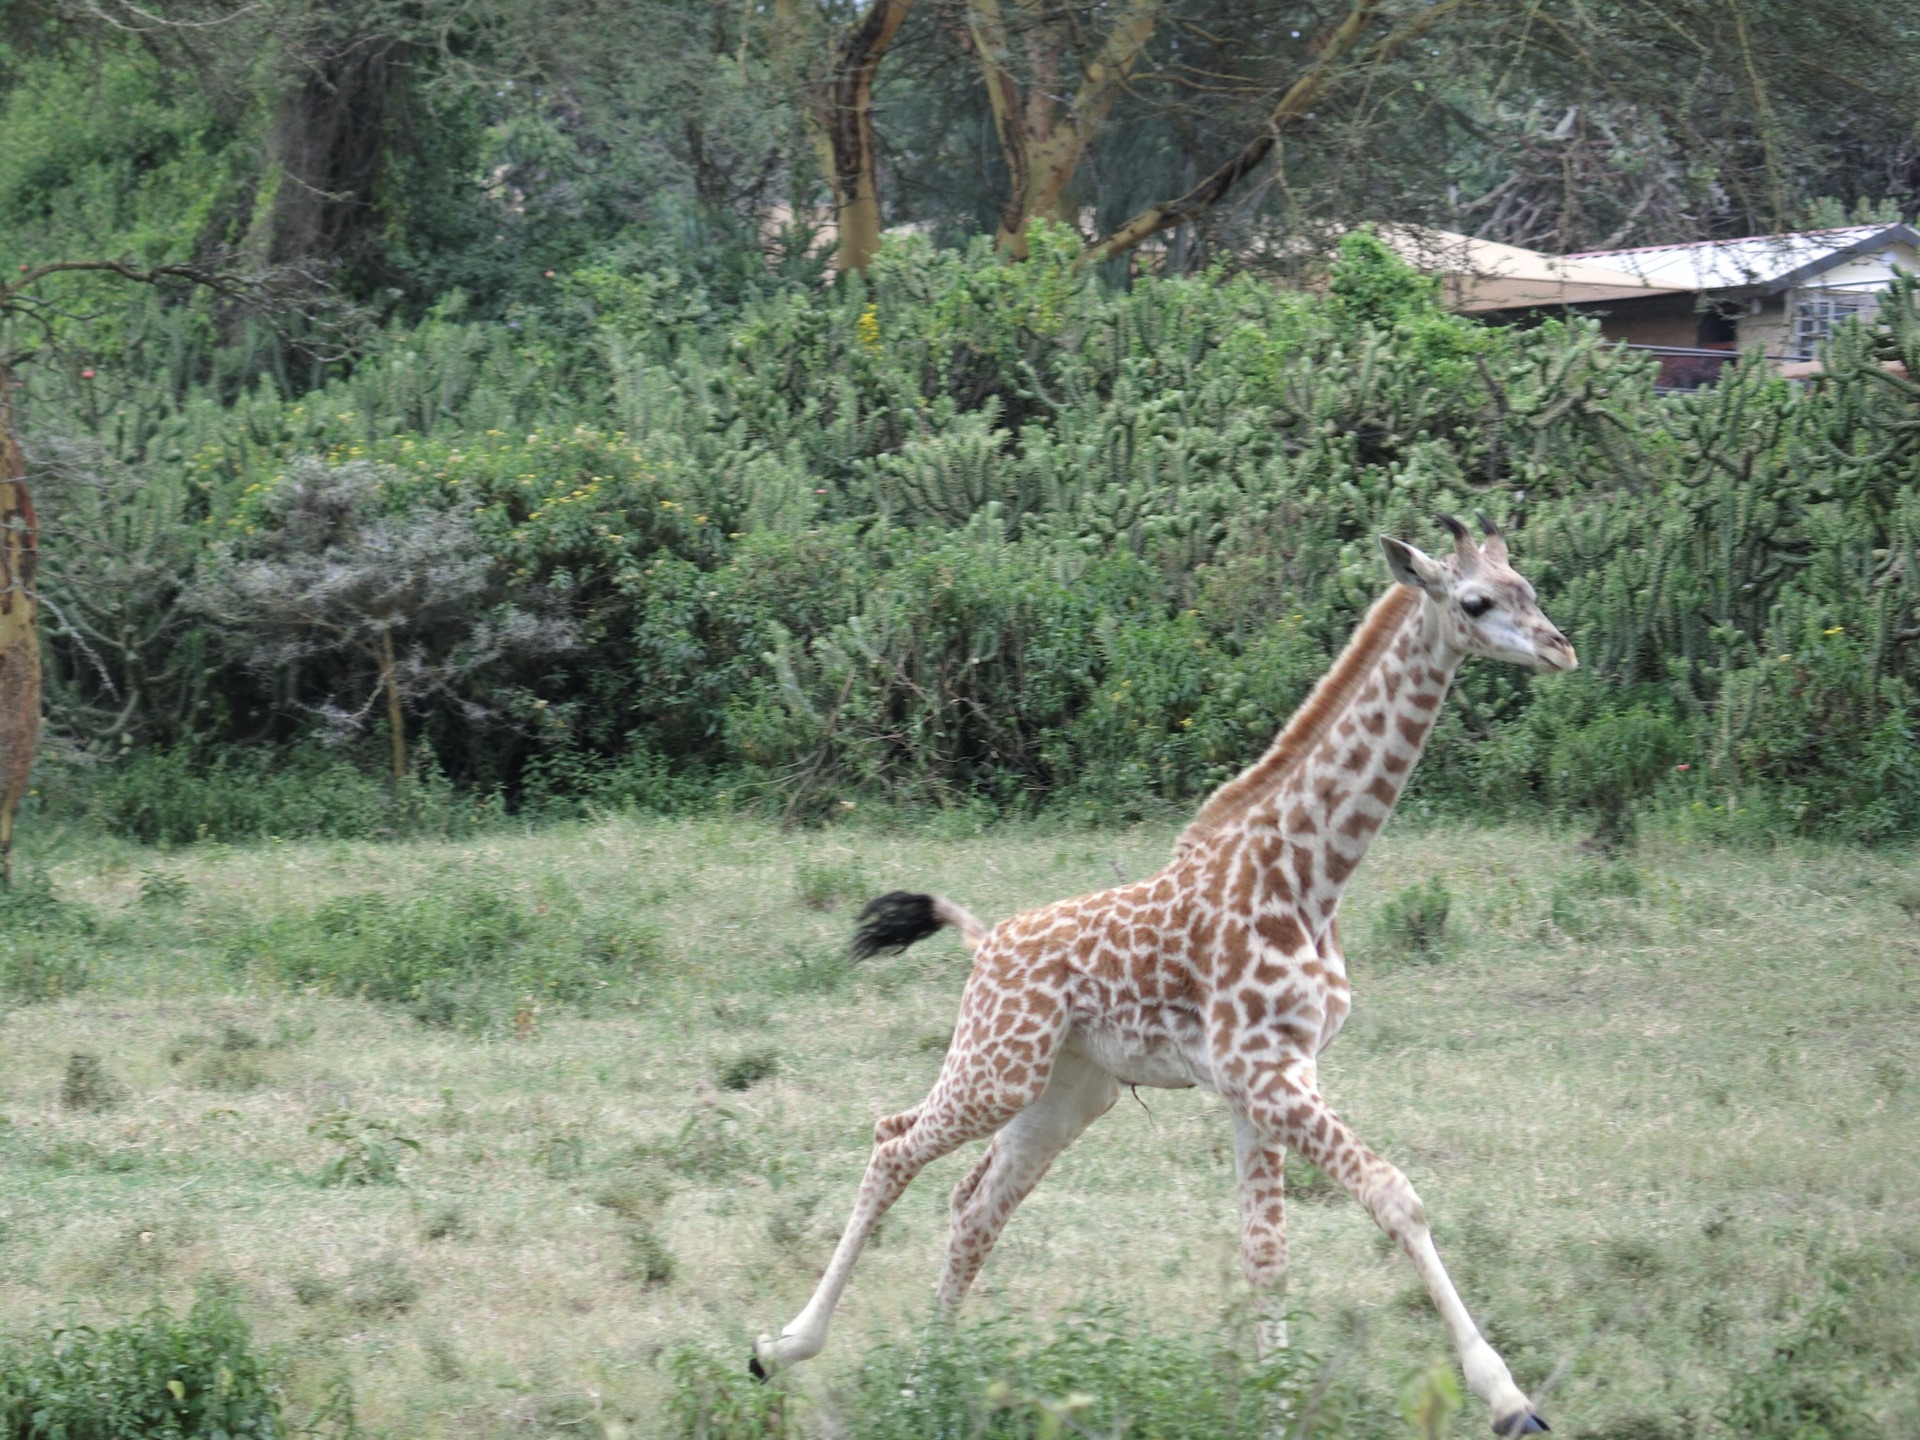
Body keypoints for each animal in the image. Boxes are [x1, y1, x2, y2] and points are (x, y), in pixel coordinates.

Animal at [748, 514, 1574, 1436]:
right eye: (1476, 601)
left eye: (1531, 589)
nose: (1561, 648)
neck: (1309, 879)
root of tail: (988, 941)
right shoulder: (1266, 1072)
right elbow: (1396, 1196)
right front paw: (1508, 1398)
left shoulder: (1267, 1080)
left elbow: (1267, 1252)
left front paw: (1274, 1408)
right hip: (998, 1067)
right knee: (894, 1147)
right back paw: (782, 1348)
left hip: (1067, 1090)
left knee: (974, 1207)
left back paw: (924, 1387)